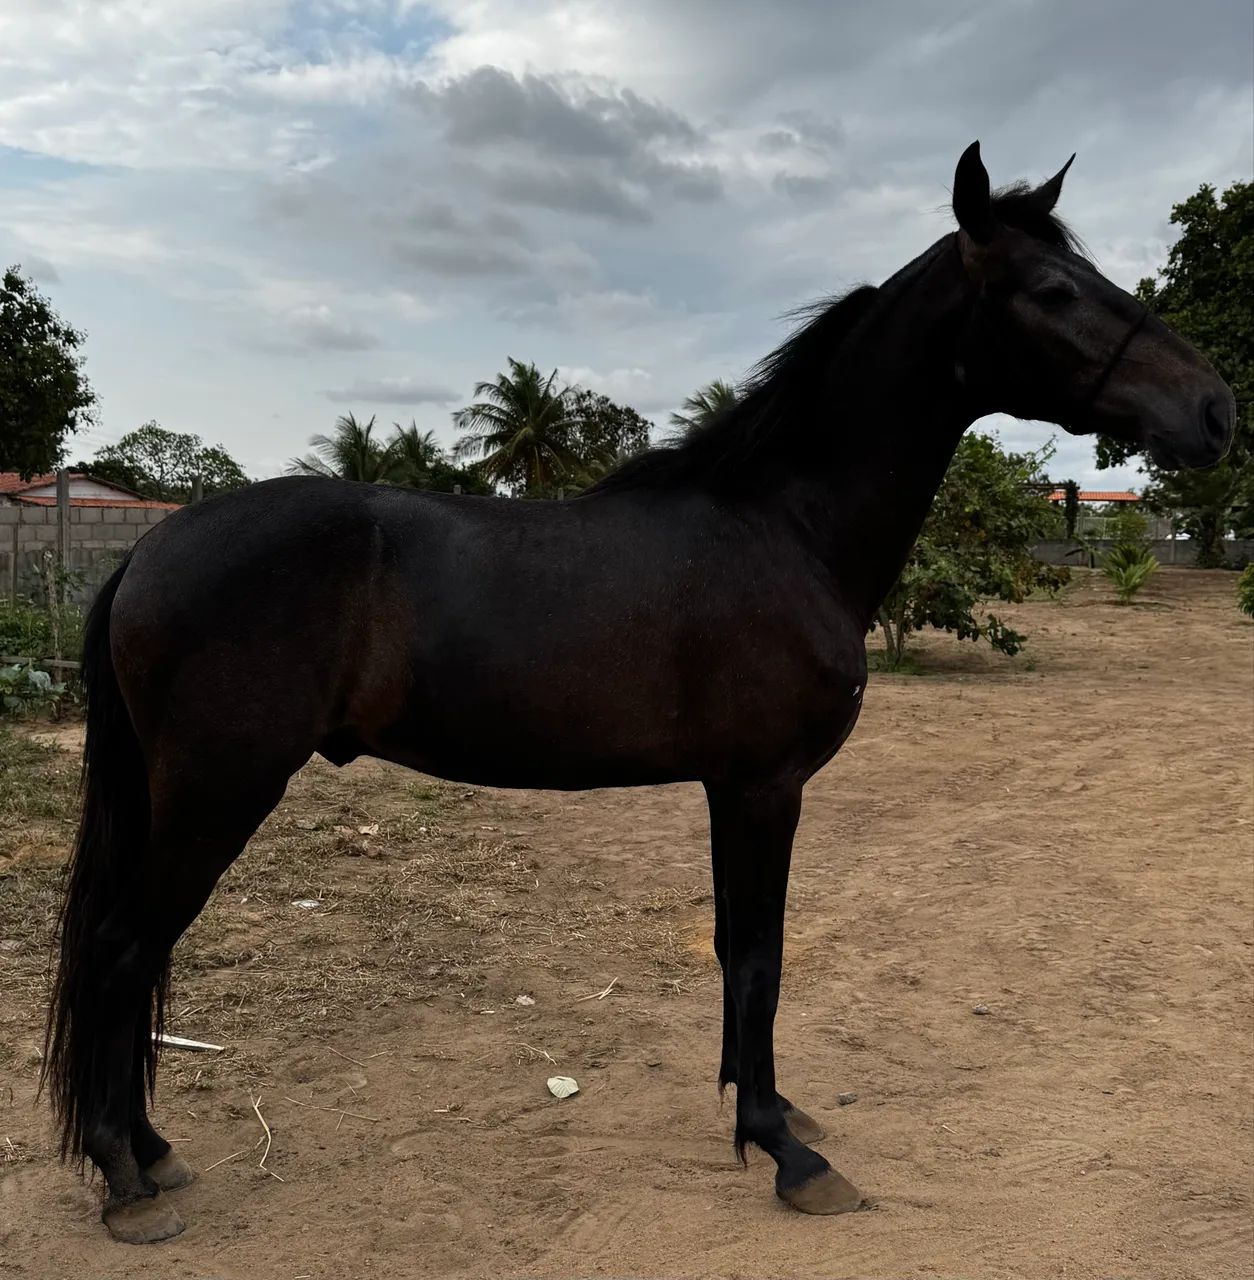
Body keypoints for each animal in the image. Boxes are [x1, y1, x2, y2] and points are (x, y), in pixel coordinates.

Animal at [43, 142, 1235, 1243]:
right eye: (1055, 291)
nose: (1216, 409)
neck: (783, 524)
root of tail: (148, 550)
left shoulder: (730, 787)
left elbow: (734, 950)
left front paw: (761, 1113)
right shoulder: (764, 785)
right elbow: (759, 954)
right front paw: (785, 1148)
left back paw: (151, 1150)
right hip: (217, 790)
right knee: (121, 946)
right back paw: (125, 1175)